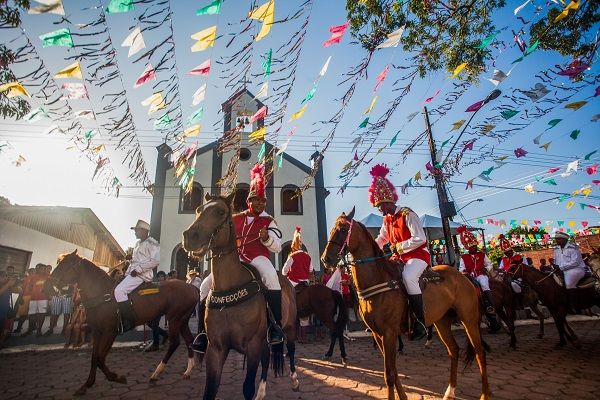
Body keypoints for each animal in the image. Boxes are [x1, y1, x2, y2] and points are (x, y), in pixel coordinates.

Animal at [47, 252, 197, 396]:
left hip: (174, 318)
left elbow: (100, 358)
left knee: (175, 342)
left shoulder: (110, 331)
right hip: (182, 319)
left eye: (66, 265)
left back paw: (157, 373)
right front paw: (86, 385)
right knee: (189, 340)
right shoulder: (97, 332)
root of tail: (192, 287)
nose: (48, 285)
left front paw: (116, 377)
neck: (101, 292)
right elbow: (94, 357)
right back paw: (188, 371)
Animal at [180, 192, 298, 398]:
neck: (230, 290)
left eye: (220, 211)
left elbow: (247, 387)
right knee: (267, 358)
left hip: (289, 328)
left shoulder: (253, 345)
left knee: (290, 350)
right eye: (198, 209)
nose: (189, 237)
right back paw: (262, 391)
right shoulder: (216, 349)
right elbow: (210, 389)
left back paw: (294, 379)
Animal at [322, 209, 490, 400]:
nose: (326, 259)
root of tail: (463, 276)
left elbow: (389, 374)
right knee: (454, 350)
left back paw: (485, 394)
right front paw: (403, 396)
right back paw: (450, 391)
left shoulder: (389, 333)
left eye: (343, 230)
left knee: (480, 353)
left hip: (469, 320)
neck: (379, 280)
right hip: (442, 321)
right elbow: (392, 371)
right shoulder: (378, 334)